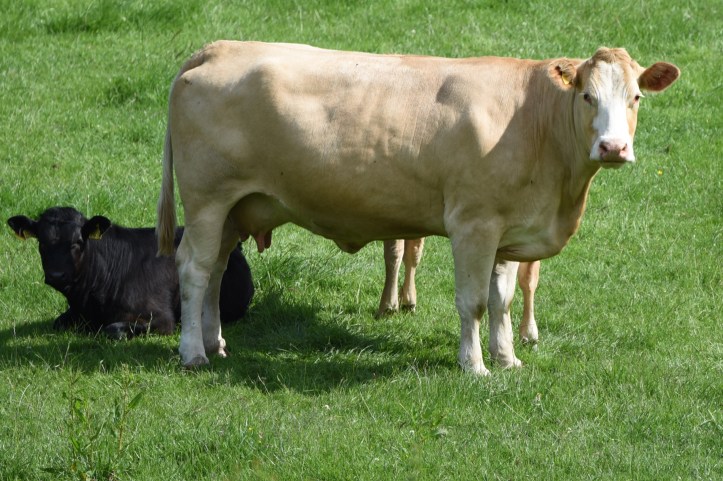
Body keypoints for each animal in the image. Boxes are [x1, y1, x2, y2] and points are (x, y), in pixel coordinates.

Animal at [8, 206, 254, 339]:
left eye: (77, 242)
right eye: (41, 242)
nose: (57, 275)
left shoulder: (160, 318)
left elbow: (113, 329)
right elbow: (58, 322)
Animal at [377, 238, 541, 344]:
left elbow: (529, 276)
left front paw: (528, 331)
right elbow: (394, 250)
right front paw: (388, 306)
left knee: (413, 249)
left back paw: (407, 300)